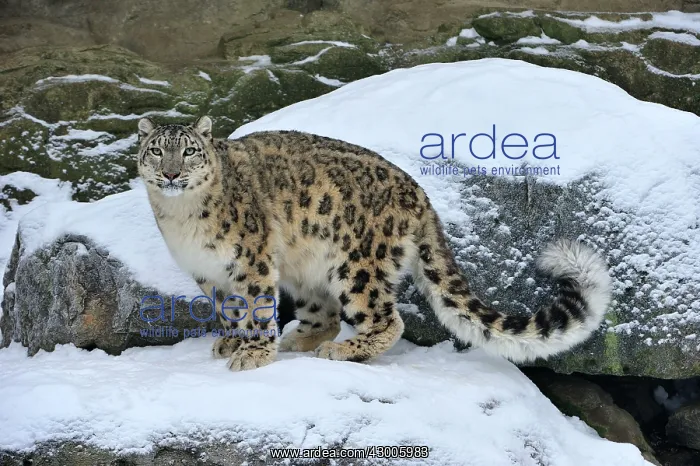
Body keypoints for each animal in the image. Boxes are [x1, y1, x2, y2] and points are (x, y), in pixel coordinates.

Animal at [136, 115, 612, 371]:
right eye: (157, 151)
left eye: (189, 151)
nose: (173, 173)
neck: (182, 220)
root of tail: (419, 192)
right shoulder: (209, 273)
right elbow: (230, 311)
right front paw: (231, 343)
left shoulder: (251, 262)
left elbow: (254, 307)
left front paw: (251, 354)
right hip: (308, 268)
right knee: (325, 314)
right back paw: (301, 340)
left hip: (357, 263)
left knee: (386, 320)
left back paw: (342, 350)